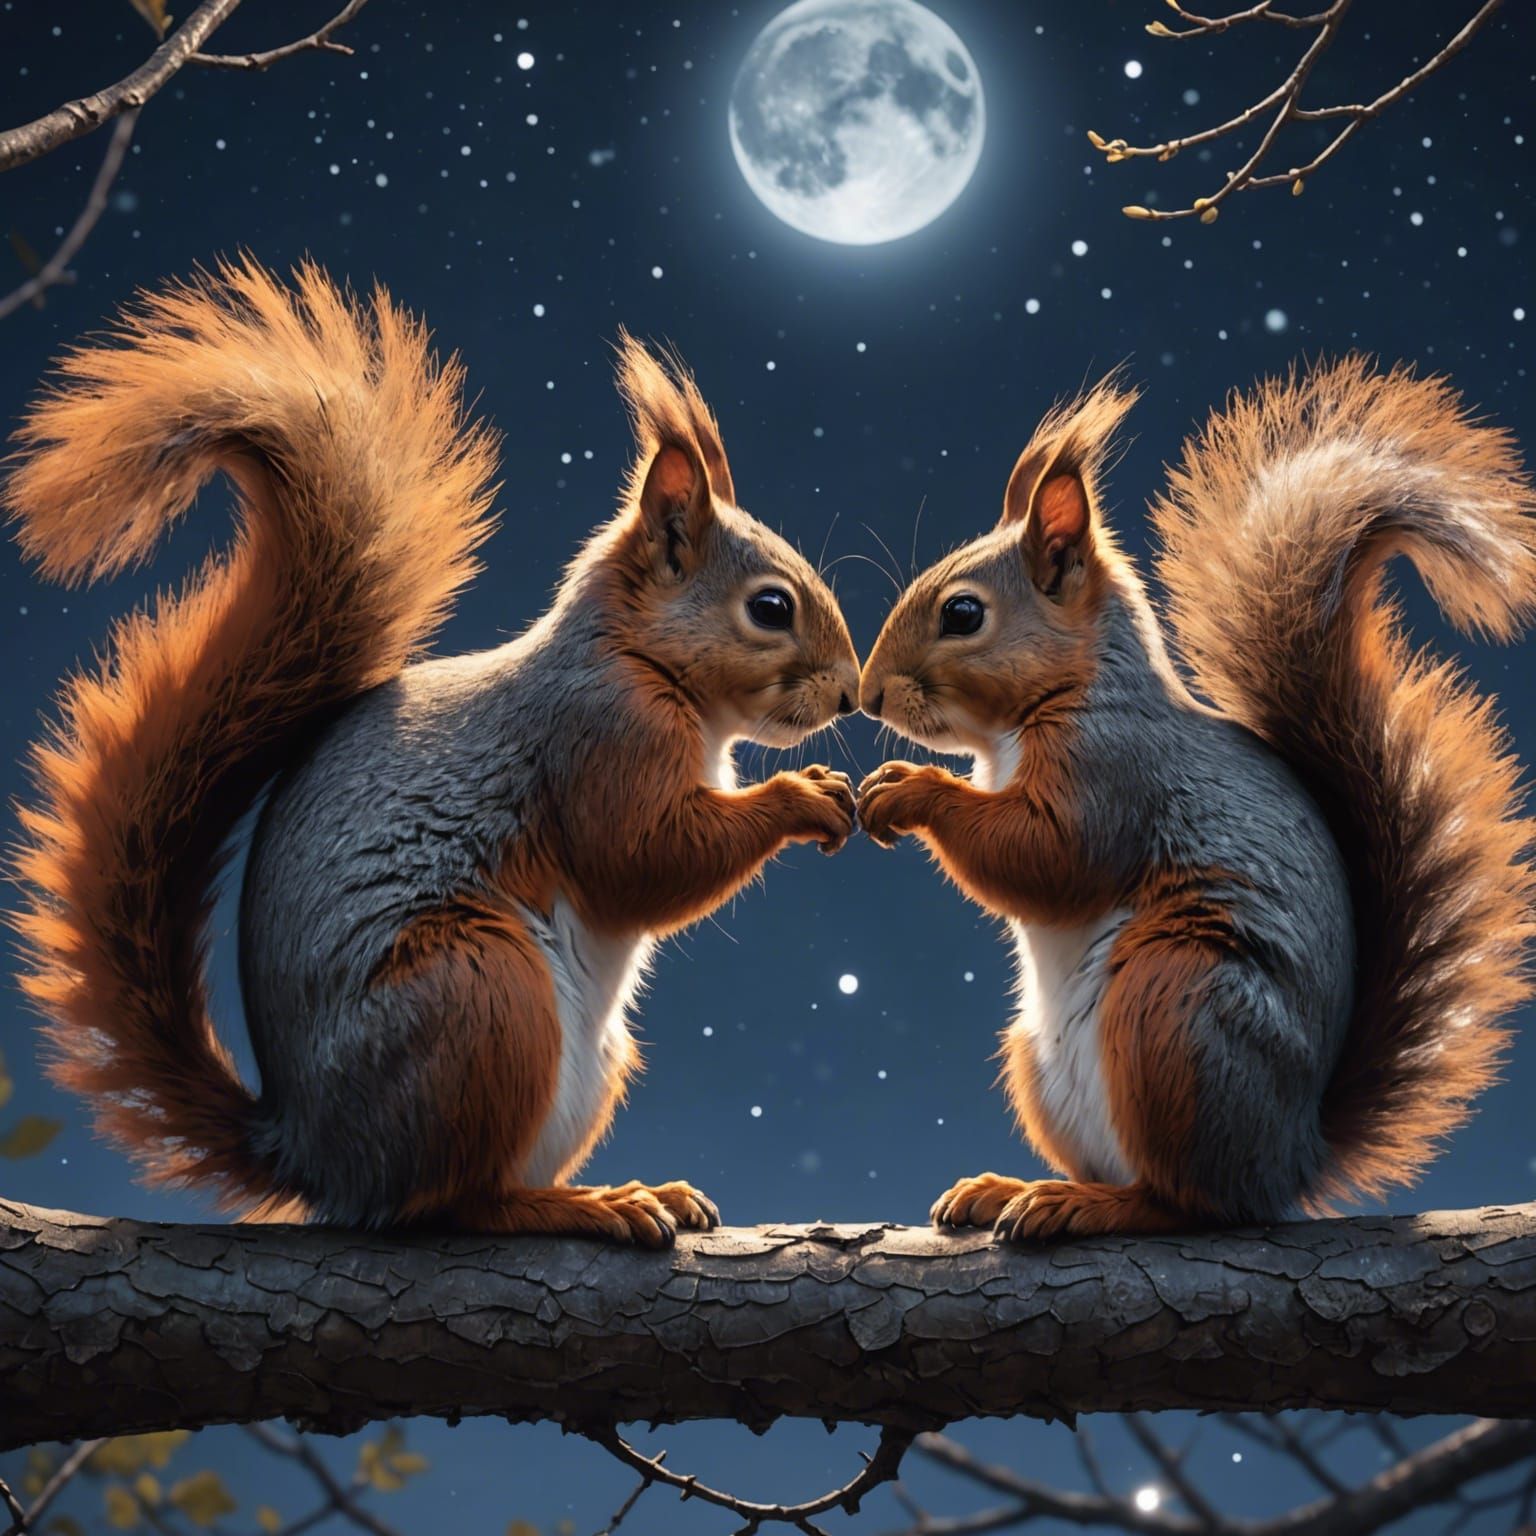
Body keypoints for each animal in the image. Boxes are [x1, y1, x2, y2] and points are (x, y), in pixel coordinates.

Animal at [5, 259, 860, 1245]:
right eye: (770, 607)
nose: (851, 692)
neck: (633, 655)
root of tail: (316, 1155)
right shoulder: (601, 737)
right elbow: (643, 859)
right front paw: (804, 795)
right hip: (480, 993)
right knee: (456, 1201)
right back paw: (581, 1204)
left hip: (578, 1050)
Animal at [857, 358, 1536, 1241]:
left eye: (963, 613)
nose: (867, 695)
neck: (1058, 702)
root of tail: (1291, 1157)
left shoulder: (1113, 773)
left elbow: (1047, 857)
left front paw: (911, 790)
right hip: (1040, 1057)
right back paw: (1007, 1190)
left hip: (1173, 1006)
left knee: (1186, 1201)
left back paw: (1085, 1204)